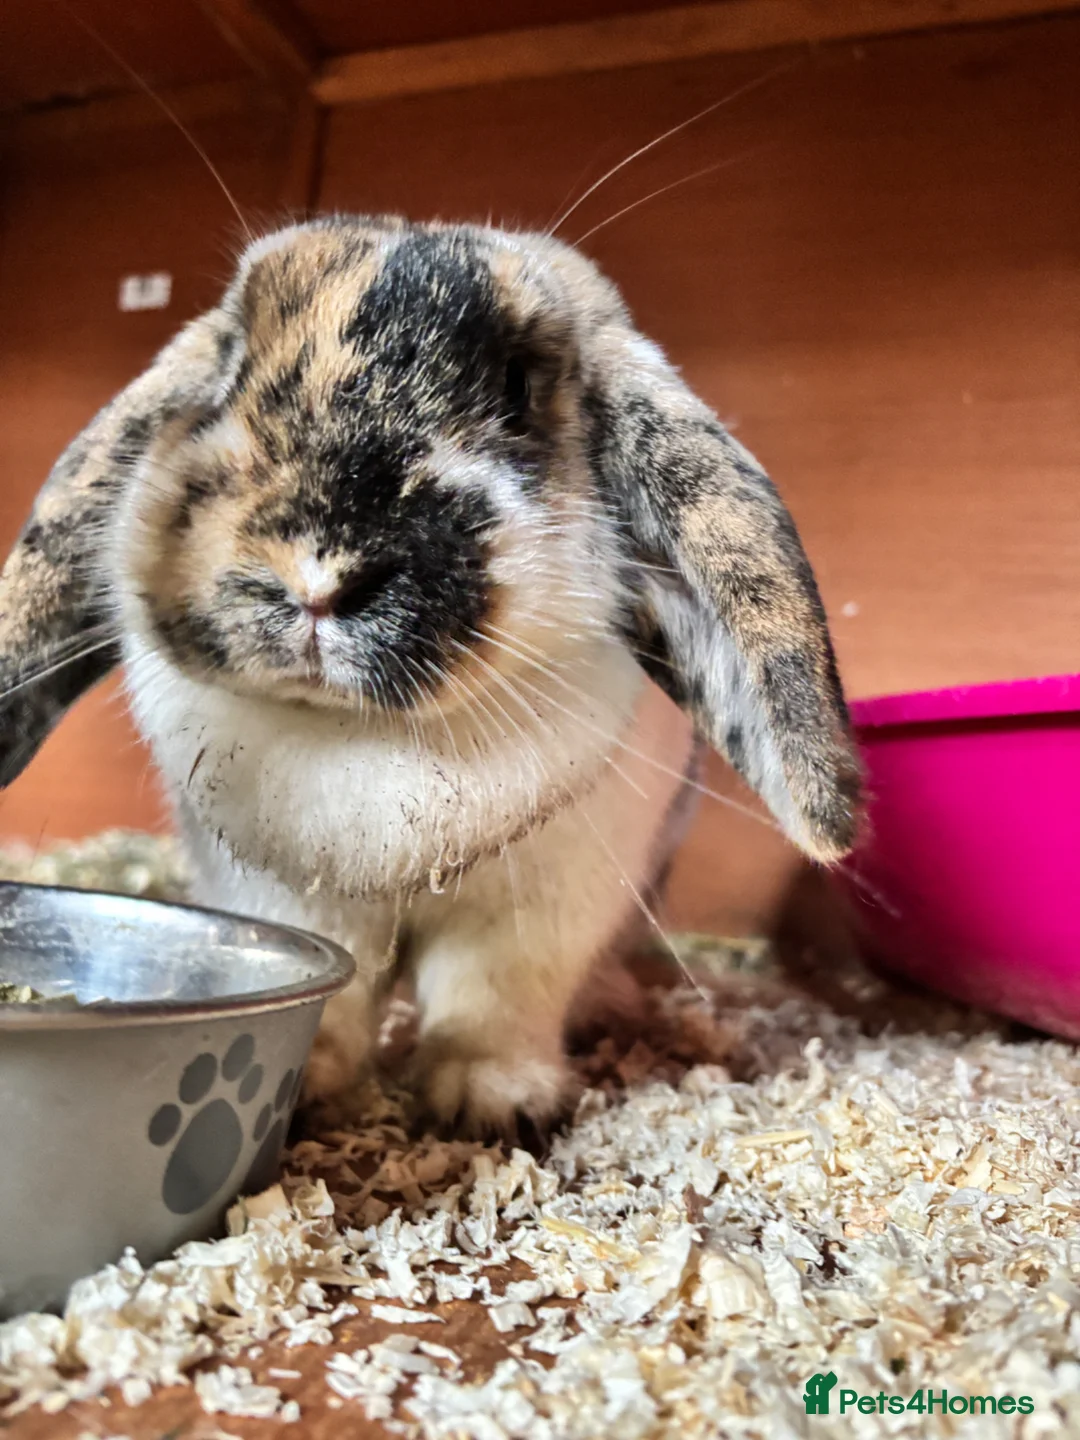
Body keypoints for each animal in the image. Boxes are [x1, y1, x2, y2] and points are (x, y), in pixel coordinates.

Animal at [0, 215, 861, 1136]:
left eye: (517, 386)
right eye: (231, 368)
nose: (316, 574)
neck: (363, 734)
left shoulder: (543, 912)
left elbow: (491, 1001)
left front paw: (494, 1102)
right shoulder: (288, 896)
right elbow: (338, 991)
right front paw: (310, 1084)